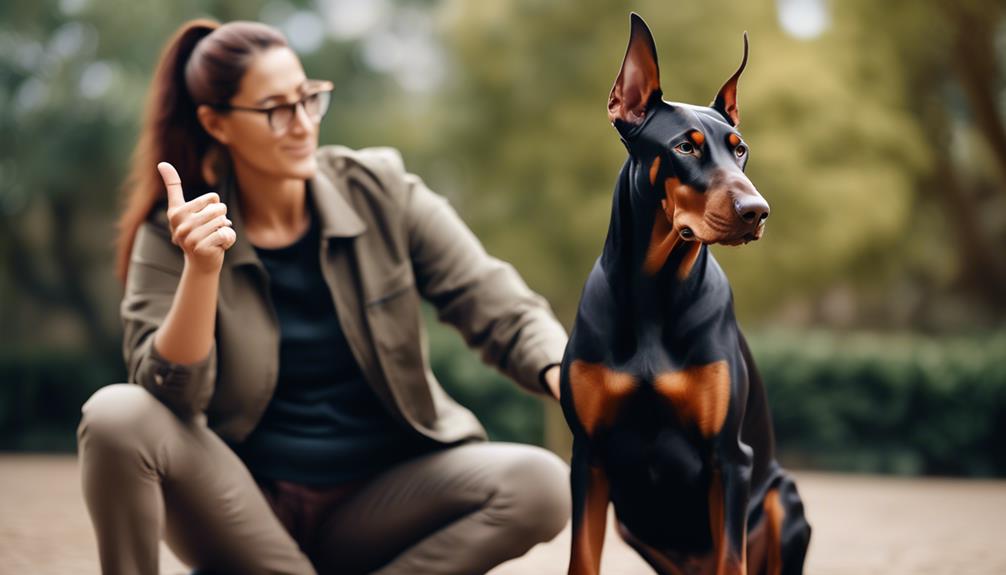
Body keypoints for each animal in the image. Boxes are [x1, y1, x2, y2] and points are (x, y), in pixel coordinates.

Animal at [563, 12, 812, 575]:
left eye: (740, 148)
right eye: (685, 146)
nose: (757, 211)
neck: (655, 293)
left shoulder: (731, 460)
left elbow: (731, 557)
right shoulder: (588, 457)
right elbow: (582, 558)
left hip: (783, 497)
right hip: (631, 522)